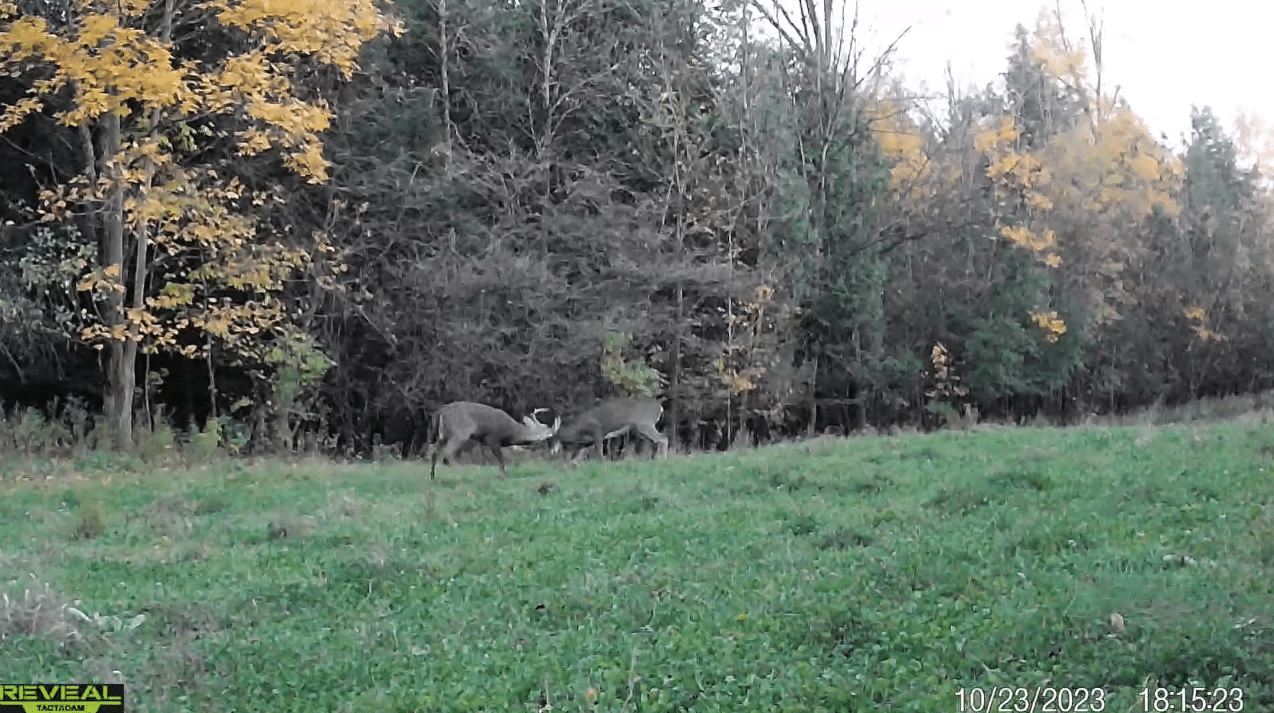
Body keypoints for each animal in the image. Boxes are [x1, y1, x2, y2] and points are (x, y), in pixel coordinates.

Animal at [429, 402, 561, 480]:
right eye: (551, 436)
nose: (556, 450)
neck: (512, 432)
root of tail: (440, 412)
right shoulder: (493, 439)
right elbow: (501, 459)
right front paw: (503, 475)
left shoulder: (486, 443)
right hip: (459, 434)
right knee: (447, 456)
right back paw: (460, 476)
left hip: (443, 436)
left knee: (435, 453)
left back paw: (433, 477)